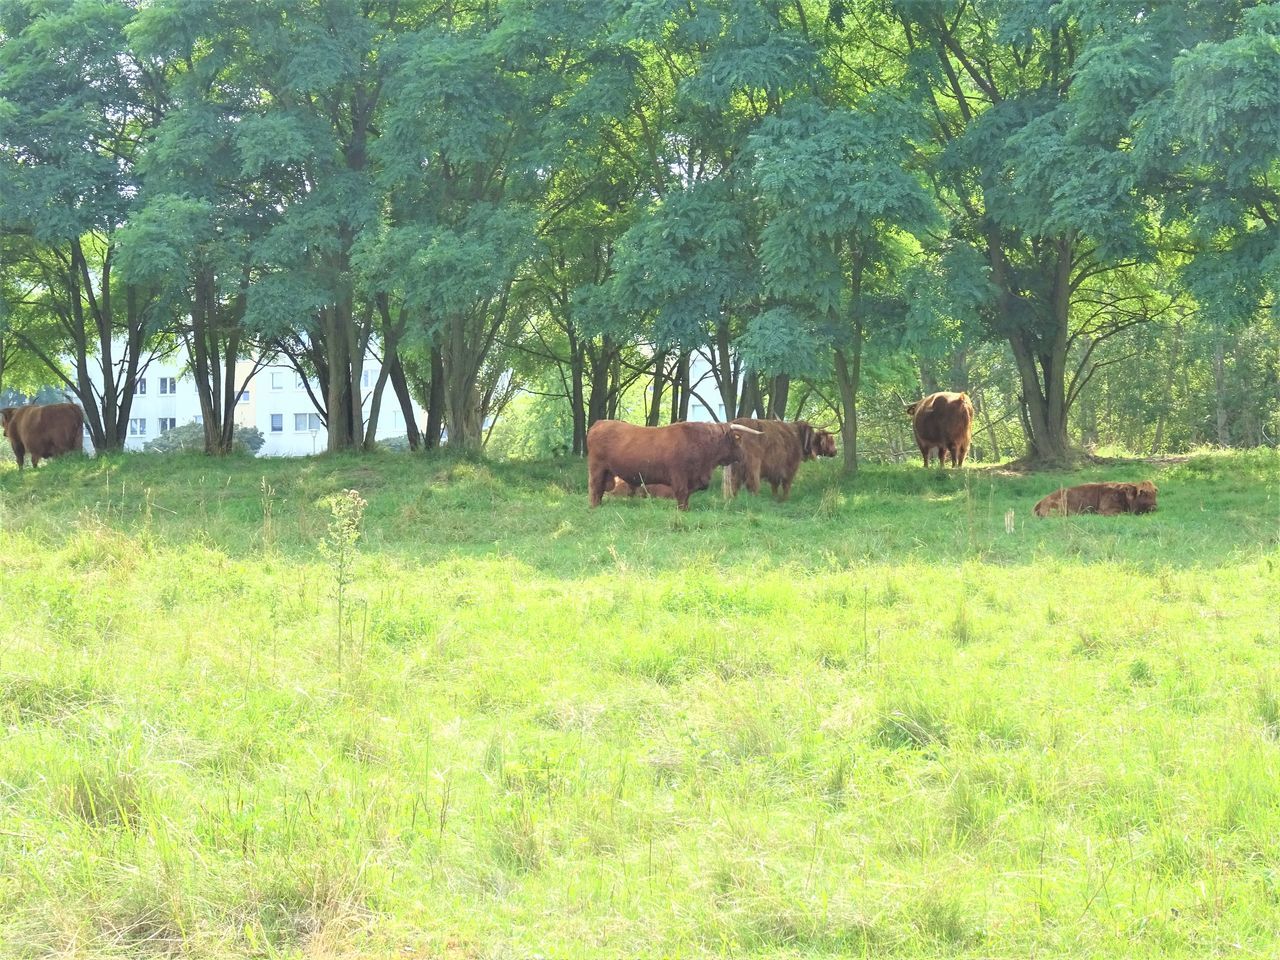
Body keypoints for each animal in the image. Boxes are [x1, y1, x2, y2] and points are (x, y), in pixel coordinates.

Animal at [586, 419, 757, 512]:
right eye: (738, 440)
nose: (743, 456)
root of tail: (599, 423)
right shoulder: (679, 475)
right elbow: (682, 494)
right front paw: (682, 511)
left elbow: (687, 496)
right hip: (597, 468)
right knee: (595, 487)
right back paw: (594, 507)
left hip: (606, 472)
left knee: (600, 490)